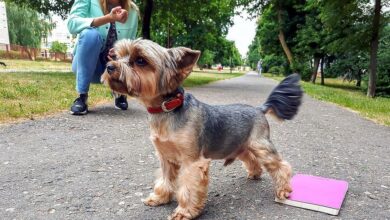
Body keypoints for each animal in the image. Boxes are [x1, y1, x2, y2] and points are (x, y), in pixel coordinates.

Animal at [102, 38, 304, 219]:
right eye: (117, 55)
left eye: (141, 60)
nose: (109, 66)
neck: (168, 108)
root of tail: (260, 108)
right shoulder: (166, 157)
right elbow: (165, 179)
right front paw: (160, 197)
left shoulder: (192, 162)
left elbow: (188, 188)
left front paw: (184, 211)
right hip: (242, 146)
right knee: (251, 159)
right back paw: (255, 173)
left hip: (260, 145)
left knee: (280, 166)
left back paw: (283, 189)